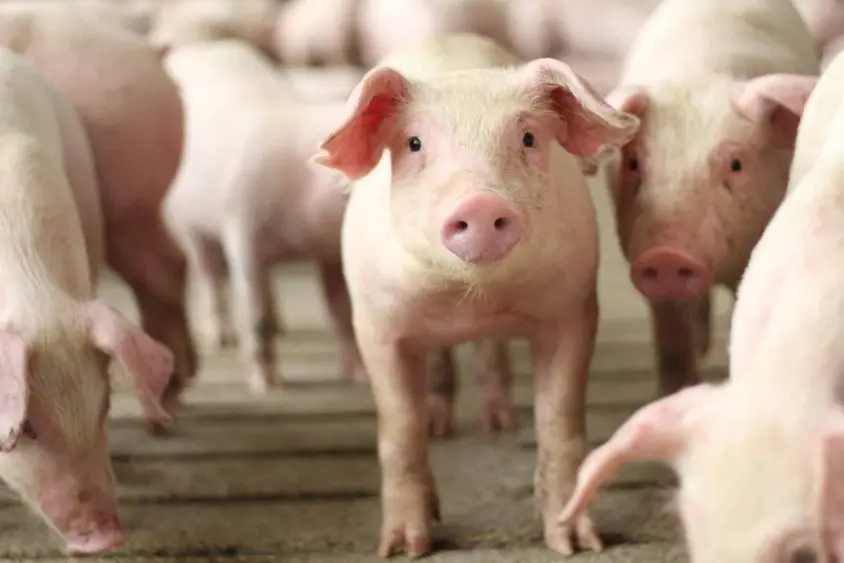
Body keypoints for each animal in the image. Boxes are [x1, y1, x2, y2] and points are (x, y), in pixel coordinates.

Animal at [0, 2, 198, 431]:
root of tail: (145, 47)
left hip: (126, 195)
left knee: (160, 270)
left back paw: (163, 413)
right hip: (136, 206)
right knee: (171, 264)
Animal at [162, 40, 367, 393]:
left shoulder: (328, 251)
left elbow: (340, 311)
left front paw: (358, 378)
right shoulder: (243, 228)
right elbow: (255, 314)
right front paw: (268, 385)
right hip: (186, 219)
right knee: (210, 274)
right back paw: (220, 340)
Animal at [311, 33, 641, 556]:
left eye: (528, 138)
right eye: (414, 143)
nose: (481, 203)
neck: (470, 300)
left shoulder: (573, 309)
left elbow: (560, 424)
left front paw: (577, 544)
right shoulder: (376, 324)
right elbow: (399, 433)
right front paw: (404, 549)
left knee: (491, 355)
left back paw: (498, 422)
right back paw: (440, 424)